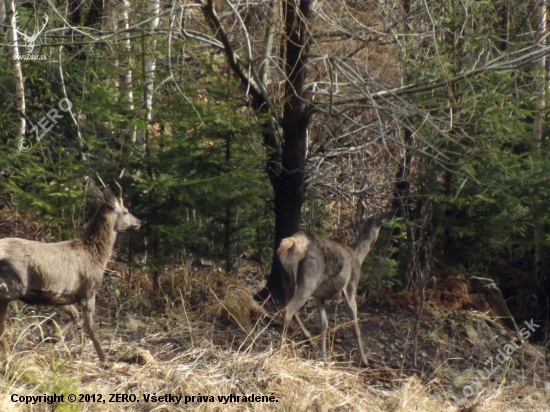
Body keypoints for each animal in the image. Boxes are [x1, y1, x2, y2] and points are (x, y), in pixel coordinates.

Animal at [0, 179, 140, 360]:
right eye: (126, 211)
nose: (138, 222)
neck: (96, 256)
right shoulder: (88, 291)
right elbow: (92, 330)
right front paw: (105, 360)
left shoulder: (61, 295)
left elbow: (75, 316)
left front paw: (52, 337)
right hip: (10, 287)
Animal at [280, 209, 396, 364]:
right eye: (379, 228)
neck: (357, 255)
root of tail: (294, 242)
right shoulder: (351, 287)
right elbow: (355, 326)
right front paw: (365, 360)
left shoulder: (319, 295)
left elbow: (324, 324)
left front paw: (323, 356)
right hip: (309, 279)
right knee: (288, 310)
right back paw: (281, 349)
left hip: (288, 276)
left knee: (288, 304)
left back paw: (308, 338)